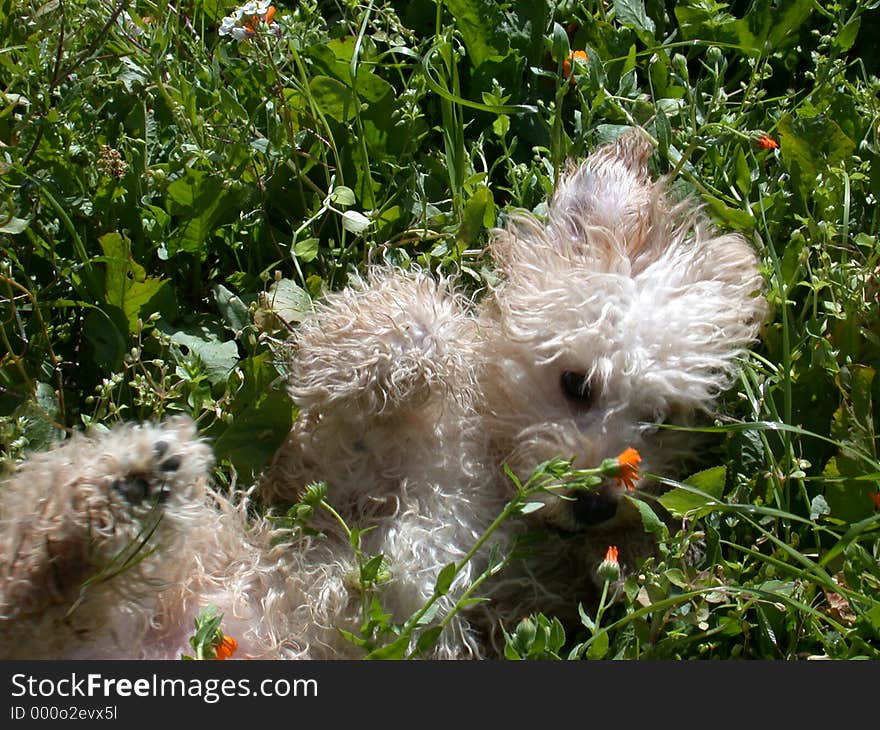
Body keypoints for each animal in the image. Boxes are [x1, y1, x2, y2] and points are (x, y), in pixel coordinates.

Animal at [0, 132, 764, 660]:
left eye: (660, 421)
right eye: (577, 384)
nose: (599, 503)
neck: (491, 474)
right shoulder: (319, 470)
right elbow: (408, 328)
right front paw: (398, 356)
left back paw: (128, 488)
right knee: (24, 557)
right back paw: (119, 484)